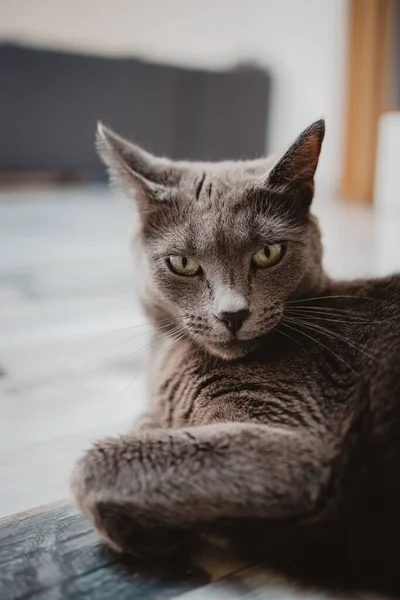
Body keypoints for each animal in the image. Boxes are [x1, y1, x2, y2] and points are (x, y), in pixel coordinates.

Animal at [71, 120, 400, 592]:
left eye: (267, 253)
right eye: (183, 263)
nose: (232, 314)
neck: (169, 358)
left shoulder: (295, 441)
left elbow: (94, 464)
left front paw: (153, 538)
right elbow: (144, 425)